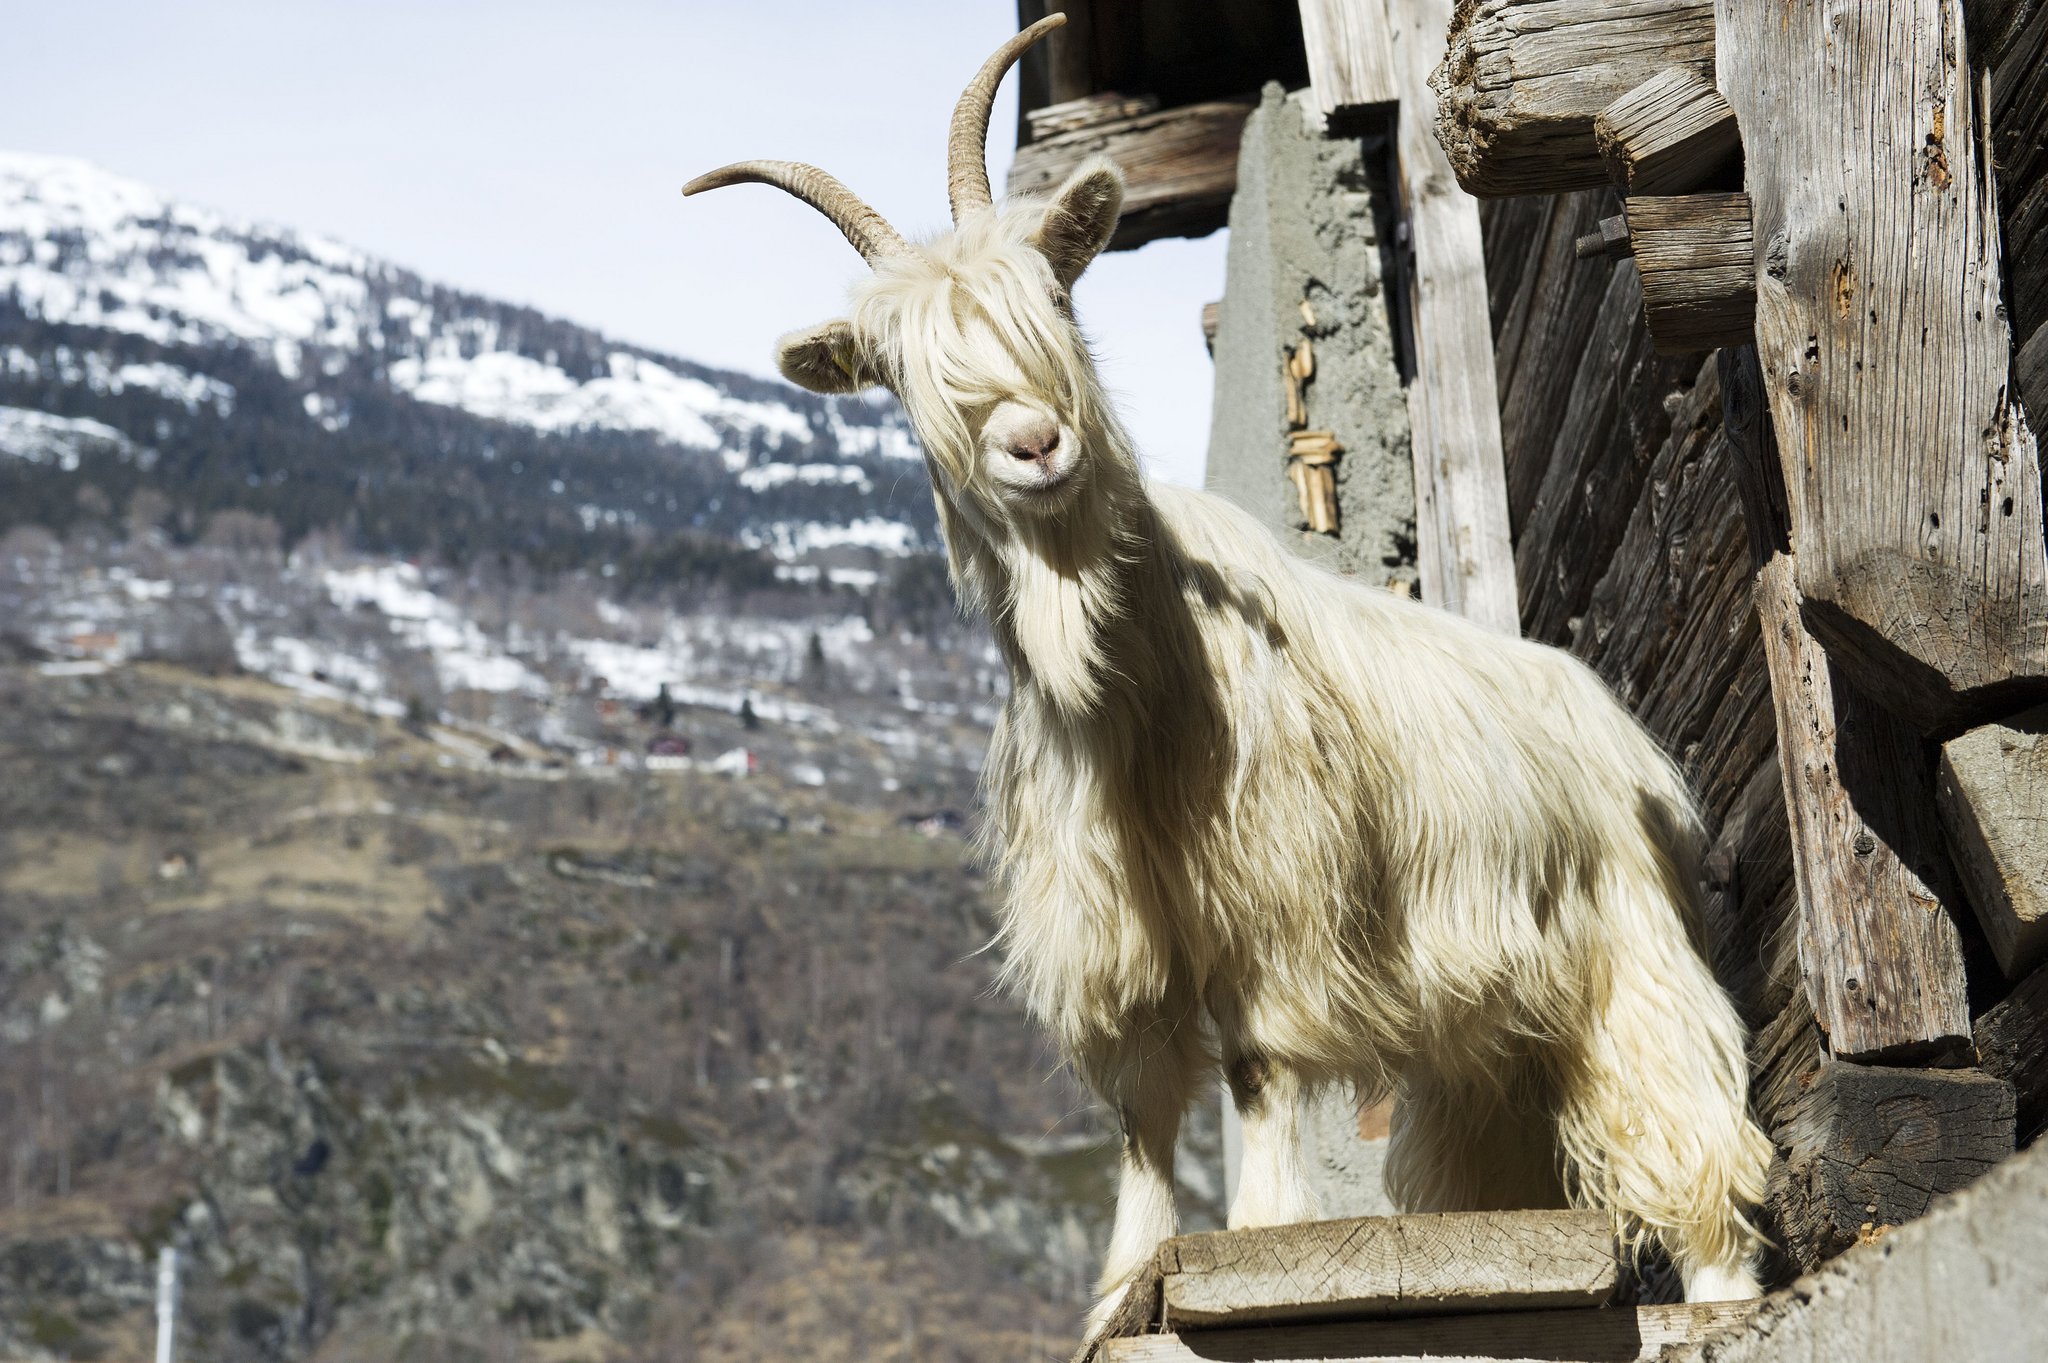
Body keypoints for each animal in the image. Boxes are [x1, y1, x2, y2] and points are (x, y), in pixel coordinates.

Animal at [685, 15, 1774, 1331]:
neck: (1131, 687)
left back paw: (1717, 1291)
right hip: (1489, 1022)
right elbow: (1143, 1118)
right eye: (894, 367)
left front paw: (1257, 1232)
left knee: (1680, 1105)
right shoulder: (1117, 939)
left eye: (1055, 293)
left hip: (1625, 935)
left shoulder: (1273, 903)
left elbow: (1256, 1068)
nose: (1033, 443)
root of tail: (1619, 728)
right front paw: (1120, 1287)